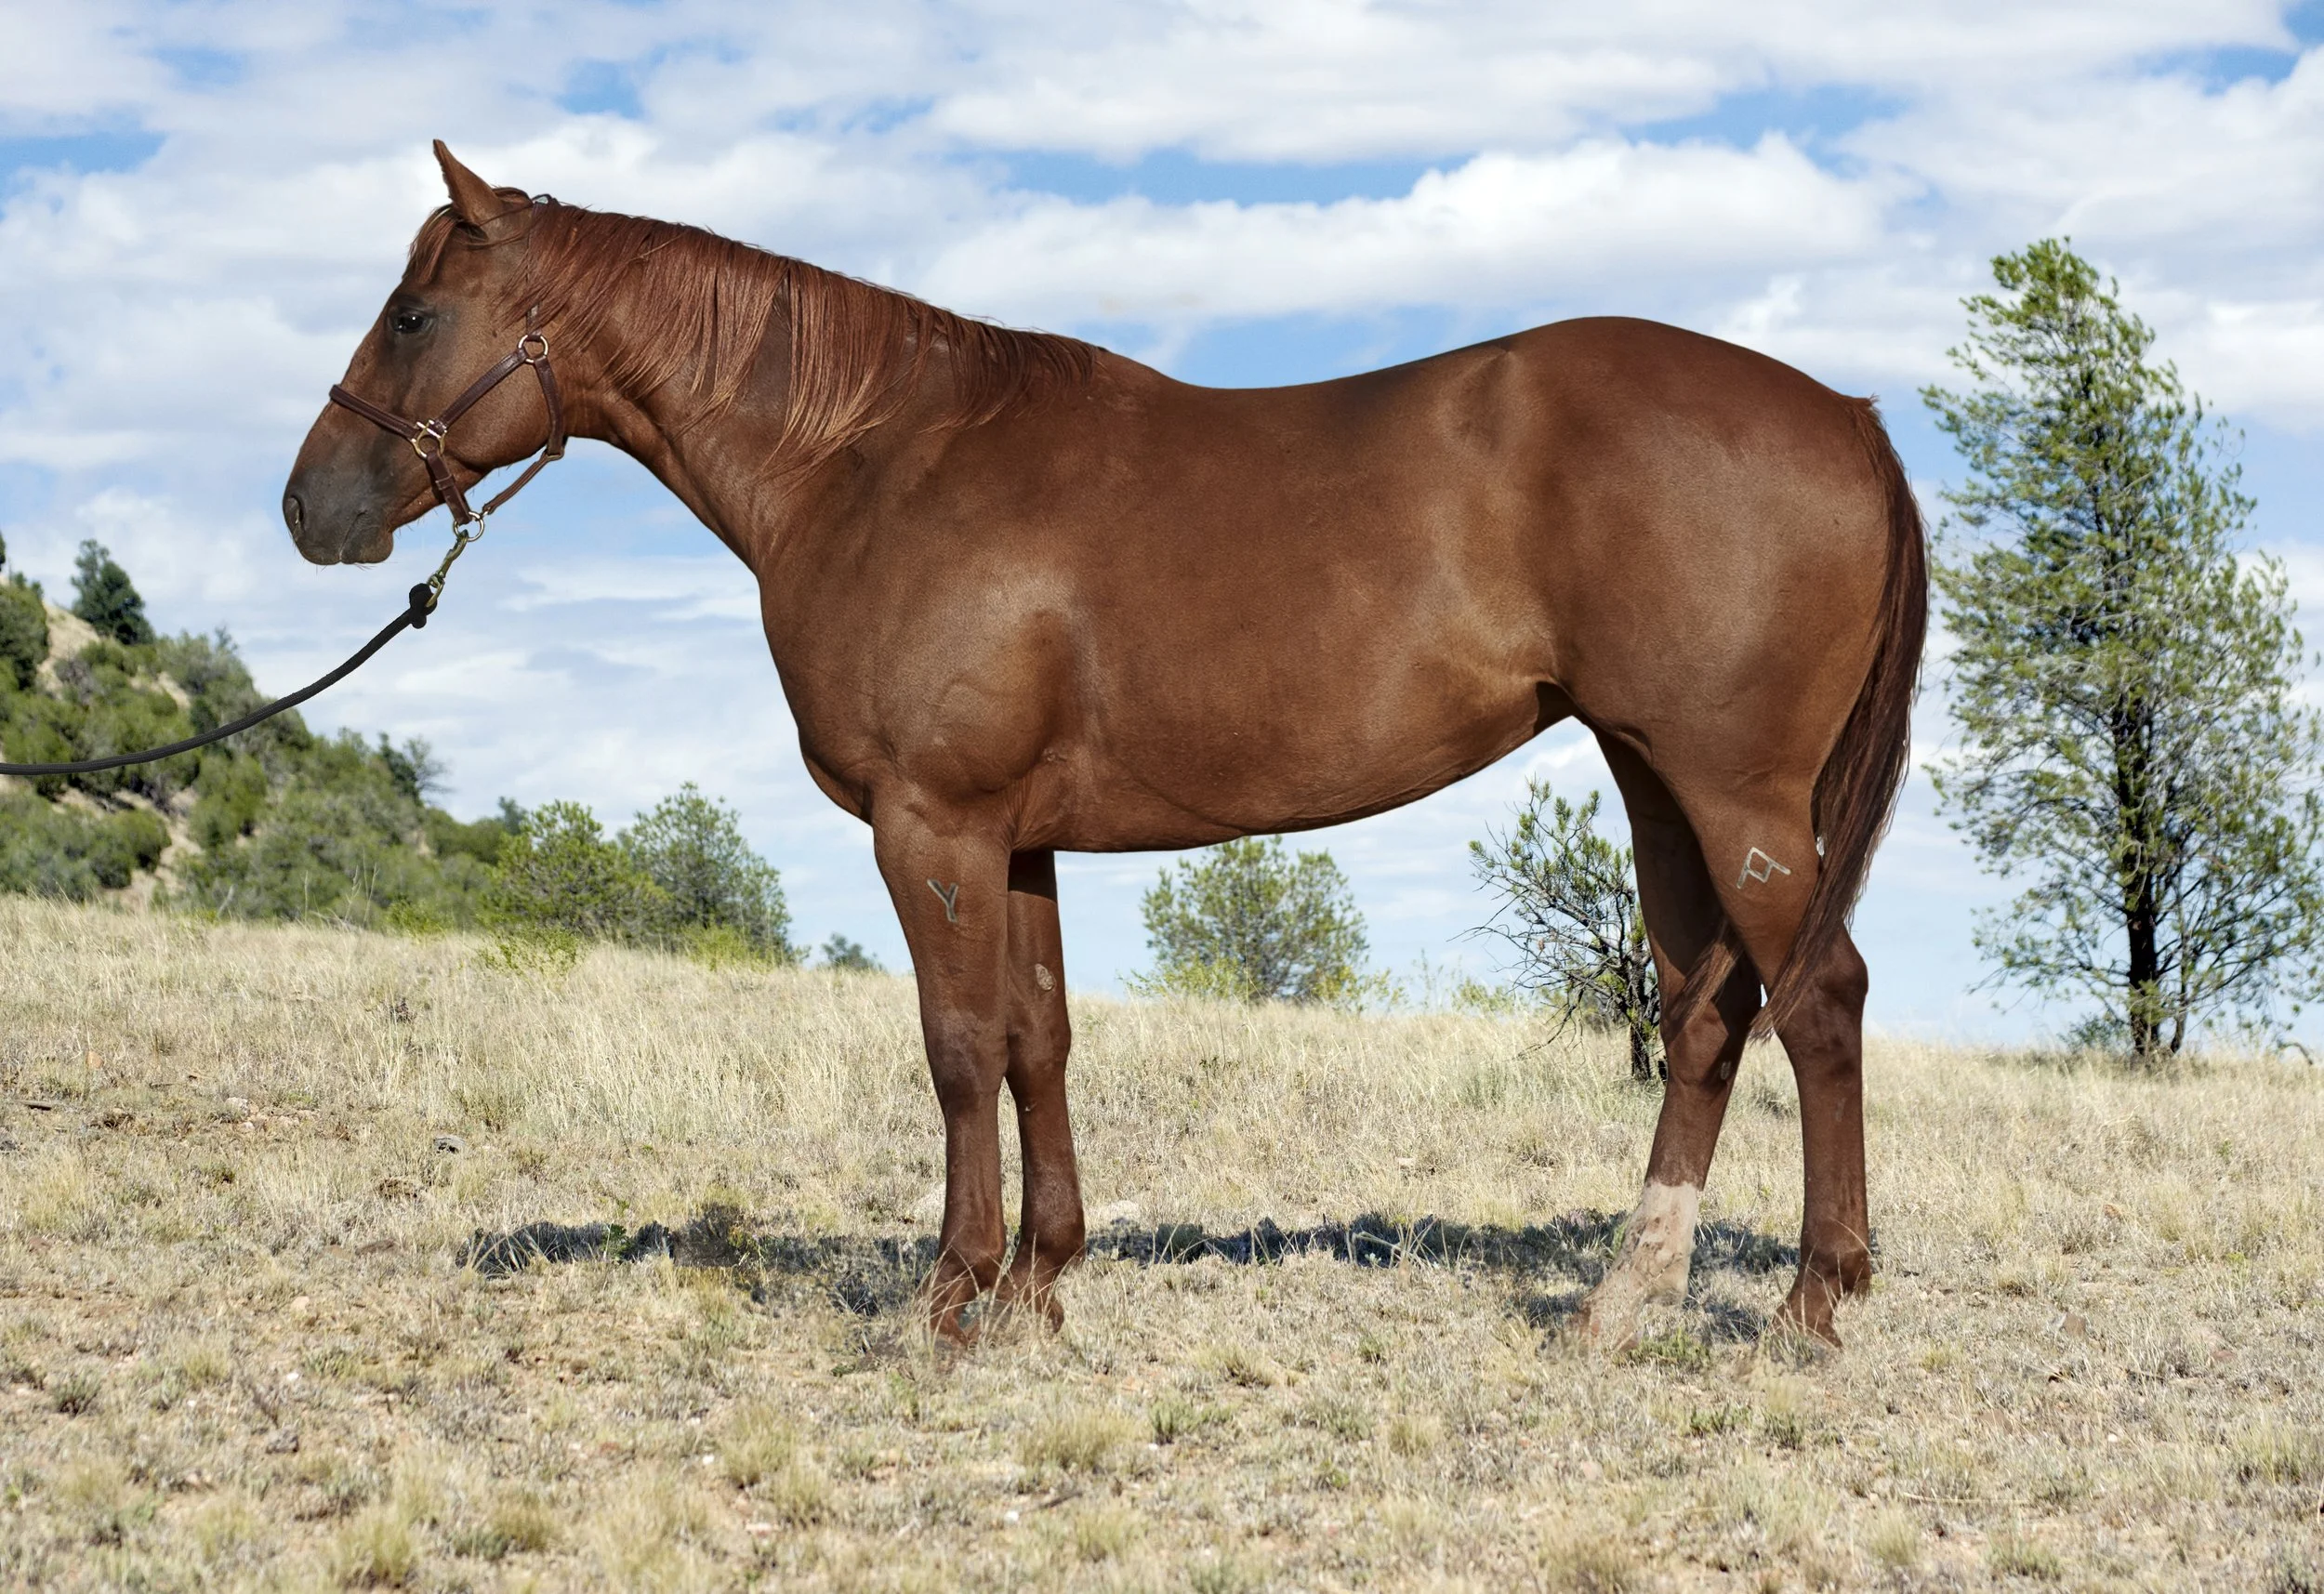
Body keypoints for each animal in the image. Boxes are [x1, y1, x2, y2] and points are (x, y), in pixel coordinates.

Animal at [286, 143, 1925, 1349]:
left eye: (414, 314)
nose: (310, 507)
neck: (872, 460)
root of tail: (1845, 415)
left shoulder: (932, 825)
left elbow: (957, 1047)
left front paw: (950, 1299)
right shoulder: (1014, 839)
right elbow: (1038, 1039)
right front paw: (1039, 1280)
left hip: (1735, 791)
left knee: (1821, 998)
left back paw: (1809, 1302)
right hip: (1657, 781)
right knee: (1706, 1012)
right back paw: (1623, 1301)